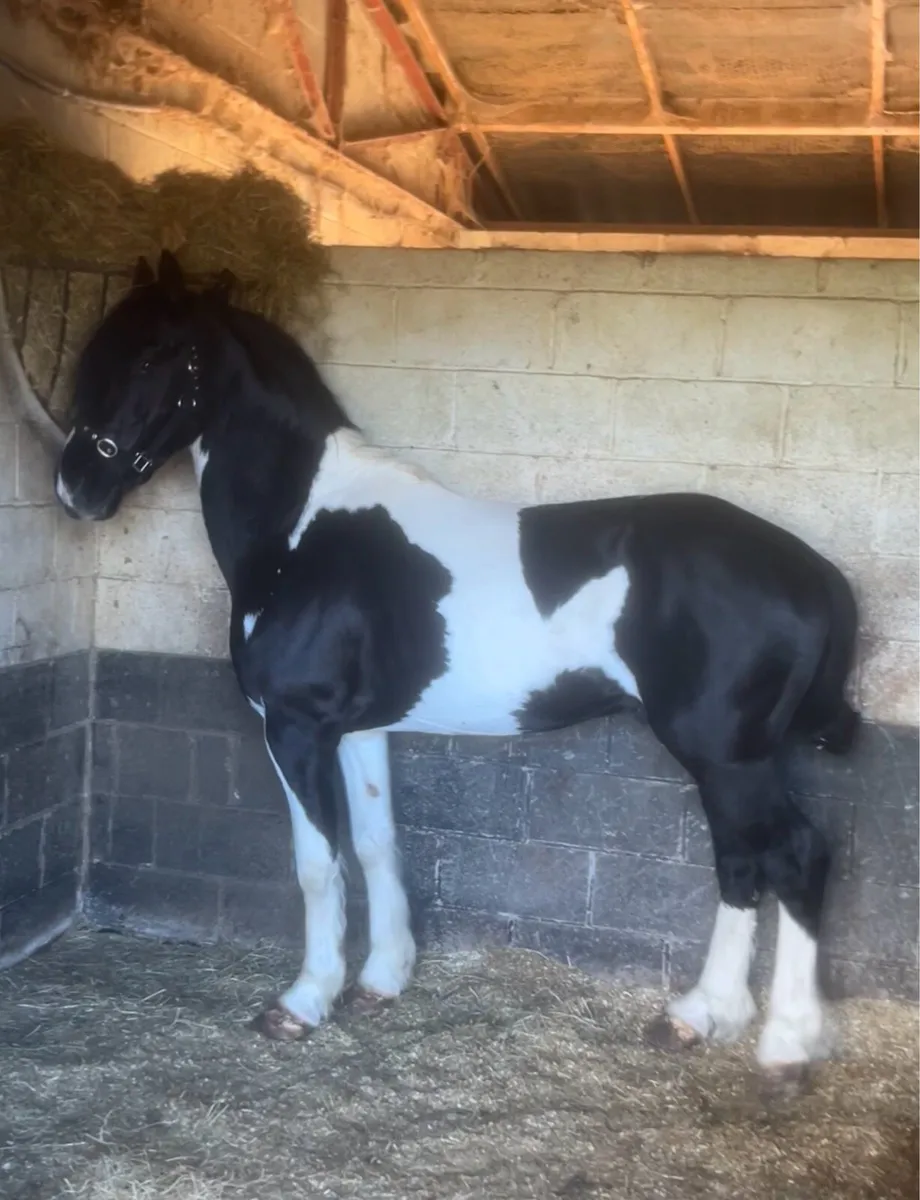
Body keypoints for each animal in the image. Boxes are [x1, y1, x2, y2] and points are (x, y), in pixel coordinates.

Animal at [54, 249, 860, 1090]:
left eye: (153, 355)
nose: (75, 486)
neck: (303, 532)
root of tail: (811, 571)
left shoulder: (296, 727)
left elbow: (318, 862)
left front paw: (305, 1001)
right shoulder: (358, 731)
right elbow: (376, 843)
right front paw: (382, 981)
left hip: (726, 756)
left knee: (791, 858)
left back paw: (782, 1044)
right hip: (732, 760)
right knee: (744, 863)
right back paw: (704, 1018)